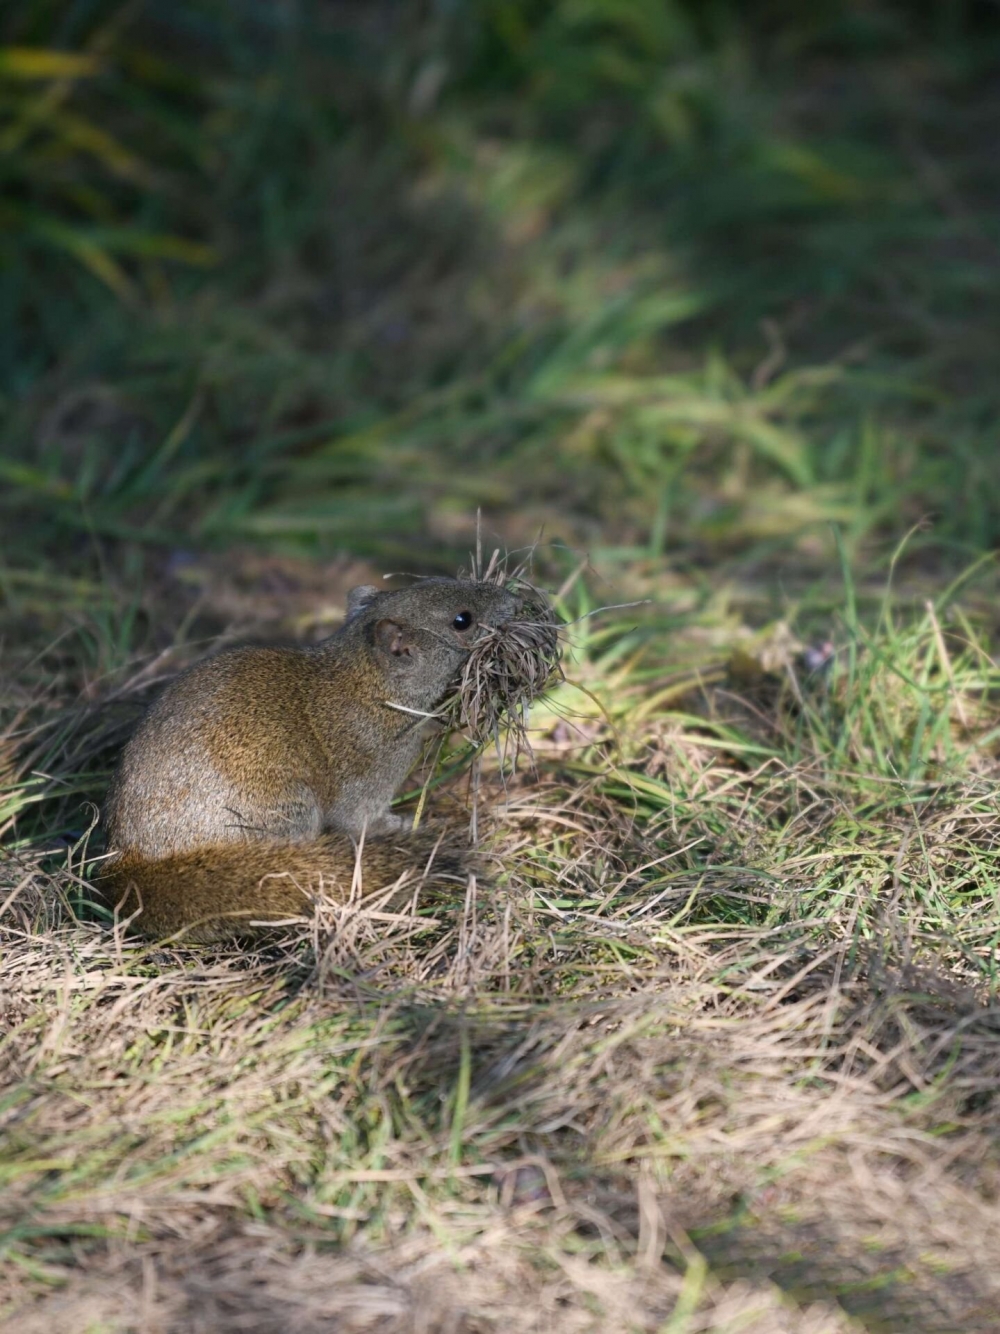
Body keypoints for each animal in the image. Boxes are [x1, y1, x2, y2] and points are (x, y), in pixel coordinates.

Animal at [100, 578, 520, 944]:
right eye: (462, 620)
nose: (514, 600)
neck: (370, 684)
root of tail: (133, 859)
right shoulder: (368, 772)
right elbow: (358, 820)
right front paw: (401, 826)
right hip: (286, 811)